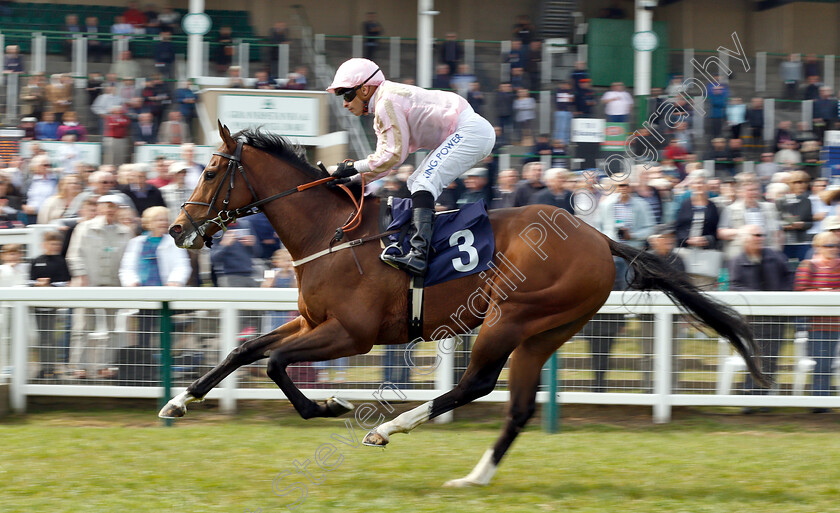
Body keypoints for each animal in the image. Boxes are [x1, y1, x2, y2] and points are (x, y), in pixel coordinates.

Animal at [159, 122, 768, 486]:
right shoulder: (311, 319)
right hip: (546, 332)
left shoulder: (353, 333)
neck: (331, 232)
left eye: (210, 171)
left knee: (476, 384)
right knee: (517, 407)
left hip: (511, 316)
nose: (176, 228)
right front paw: (179, 402)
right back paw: (475, 477)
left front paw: (329, 405)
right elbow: (243, 351)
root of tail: (598, 238)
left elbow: (277, 364)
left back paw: (388, 429)